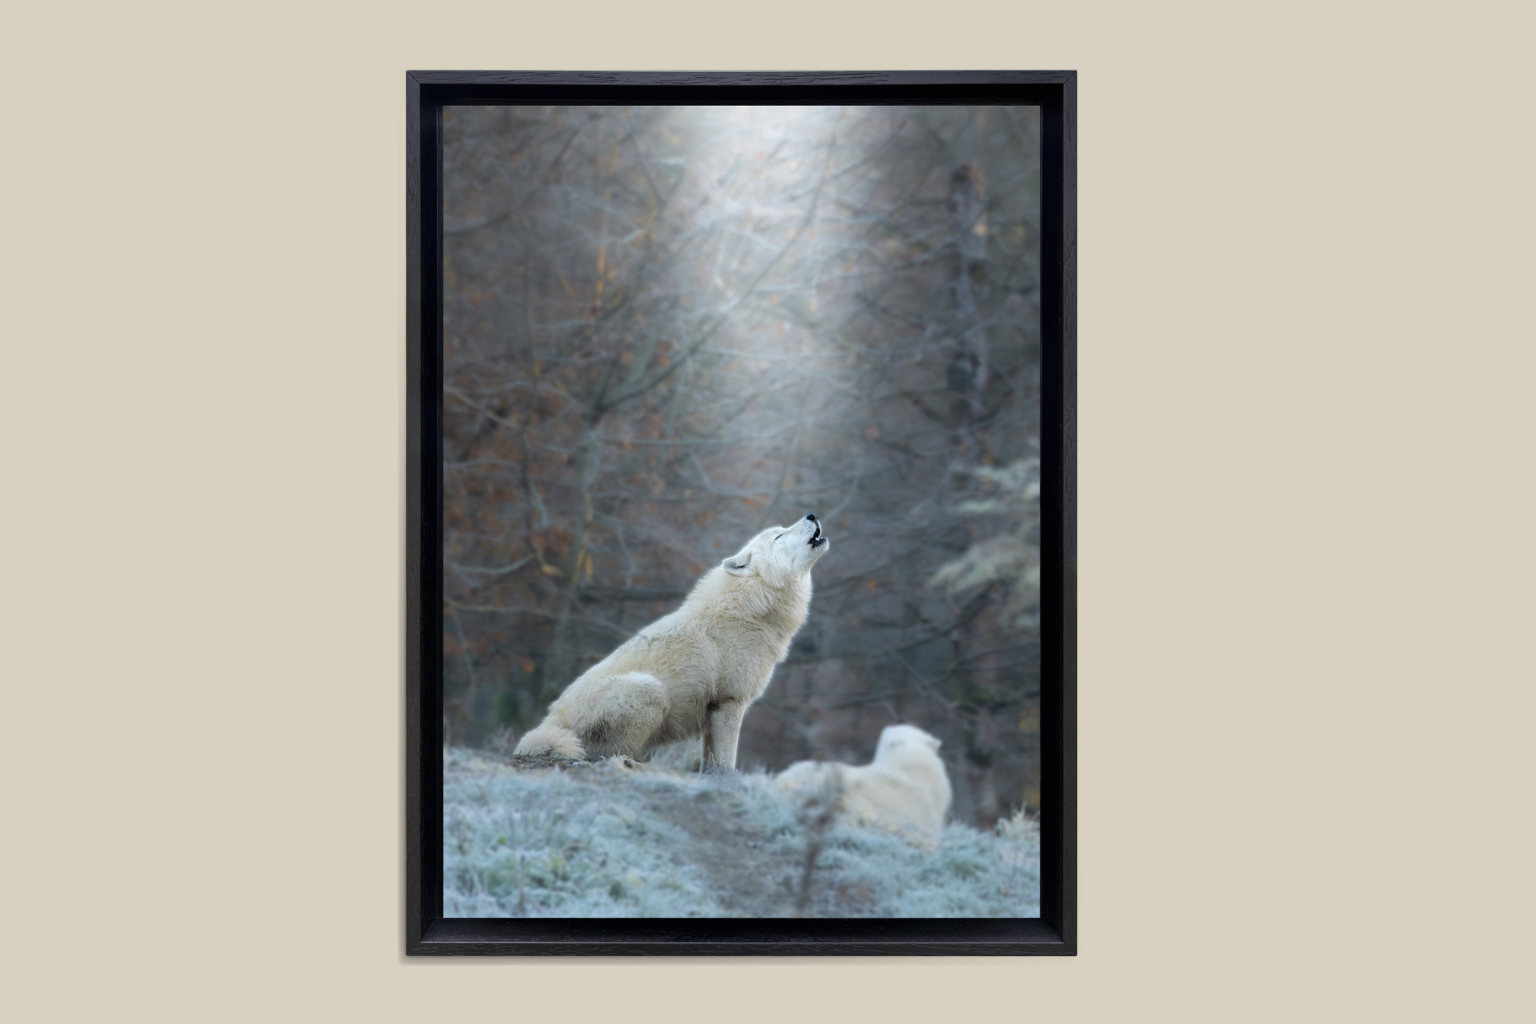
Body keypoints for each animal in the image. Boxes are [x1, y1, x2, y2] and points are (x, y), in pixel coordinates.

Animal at [514, 514, 829, 769]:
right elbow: (727, 761)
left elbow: (711, 762)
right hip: (648, 690)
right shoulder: (730, 702)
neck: (751, 607)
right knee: (605, 752)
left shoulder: (713, 712)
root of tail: (548, 723)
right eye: (779, 536)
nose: (811, 514)